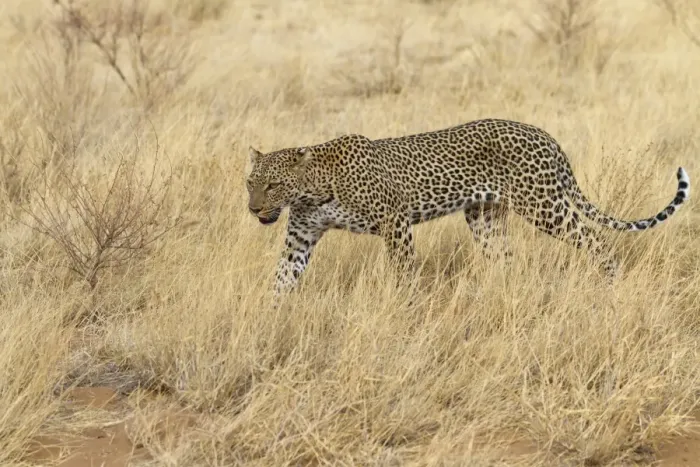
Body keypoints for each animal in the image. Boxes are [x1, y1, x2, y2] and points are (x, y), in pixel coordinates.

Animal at [246, 118, 690, 300]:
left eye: (273, 185)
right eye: (251, 184)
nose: (253, 210)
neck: (313, 189)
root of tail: (544, 135)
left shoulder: (395, 222)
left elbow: (403, 271)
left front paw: (406, 306)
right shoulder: (300, 238)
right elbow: (282, 278)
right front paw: (270, 314)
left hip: (544, 205)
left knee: (594, 238)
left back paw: (611, 282)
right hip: (485, 218)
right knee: (506, 261)